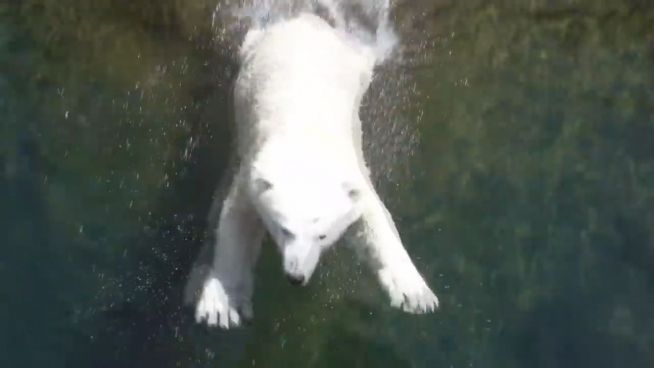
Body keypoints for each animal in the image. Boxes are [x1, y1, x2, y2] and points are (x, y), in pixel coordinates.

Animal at [191, 14, 440, 330]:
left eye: (322, 235)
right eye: (283, 229)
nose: (296, 277)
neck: (305, 146)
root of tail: (306, 20)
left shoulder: (352, 173)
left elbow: (373, 219)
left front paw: (416, 293)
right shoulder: (254, 172)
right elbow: (235, 219)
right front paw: (221, 304)